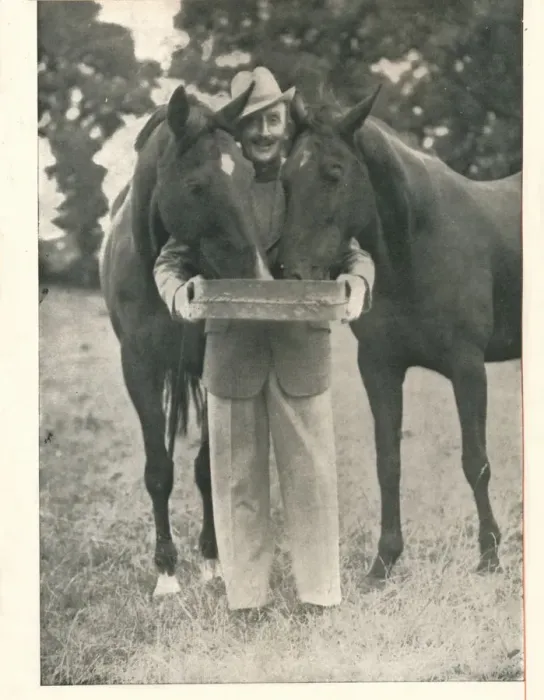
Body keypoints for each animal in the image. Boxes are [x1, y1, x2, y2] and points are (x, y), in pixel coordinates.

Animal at [99, 82, 271, 597]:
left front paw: (213, 561)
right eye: (197, 187)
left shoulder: (215, 365)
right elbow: (159, 470)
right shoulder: (138, 368)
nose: (258, 282)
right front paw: (166, 573)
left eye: (250, 178)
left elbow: (207, 467)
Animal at [277, 87, 521, 584]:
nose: (294, 275)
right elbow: (387, 463)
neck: (418, 247)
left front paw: (489, 556)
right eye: (286, 179)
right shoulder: (379, 368)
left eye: (334, 173)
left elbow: (476, 463)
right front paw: (383, 562)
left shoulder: (468, 369)